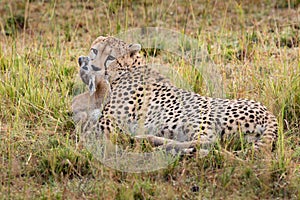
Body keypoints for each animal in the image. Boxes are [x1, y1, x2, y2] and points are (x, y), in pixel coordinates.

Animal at [75, 35, 278, 155]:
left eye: (110, 58)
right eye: (95, 51)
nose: (94, 67)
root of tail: (267, 111)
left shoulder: (108, 123)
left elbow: (87, 130)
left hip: (190, 117)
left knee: (208, 142)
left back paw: (154, 143)